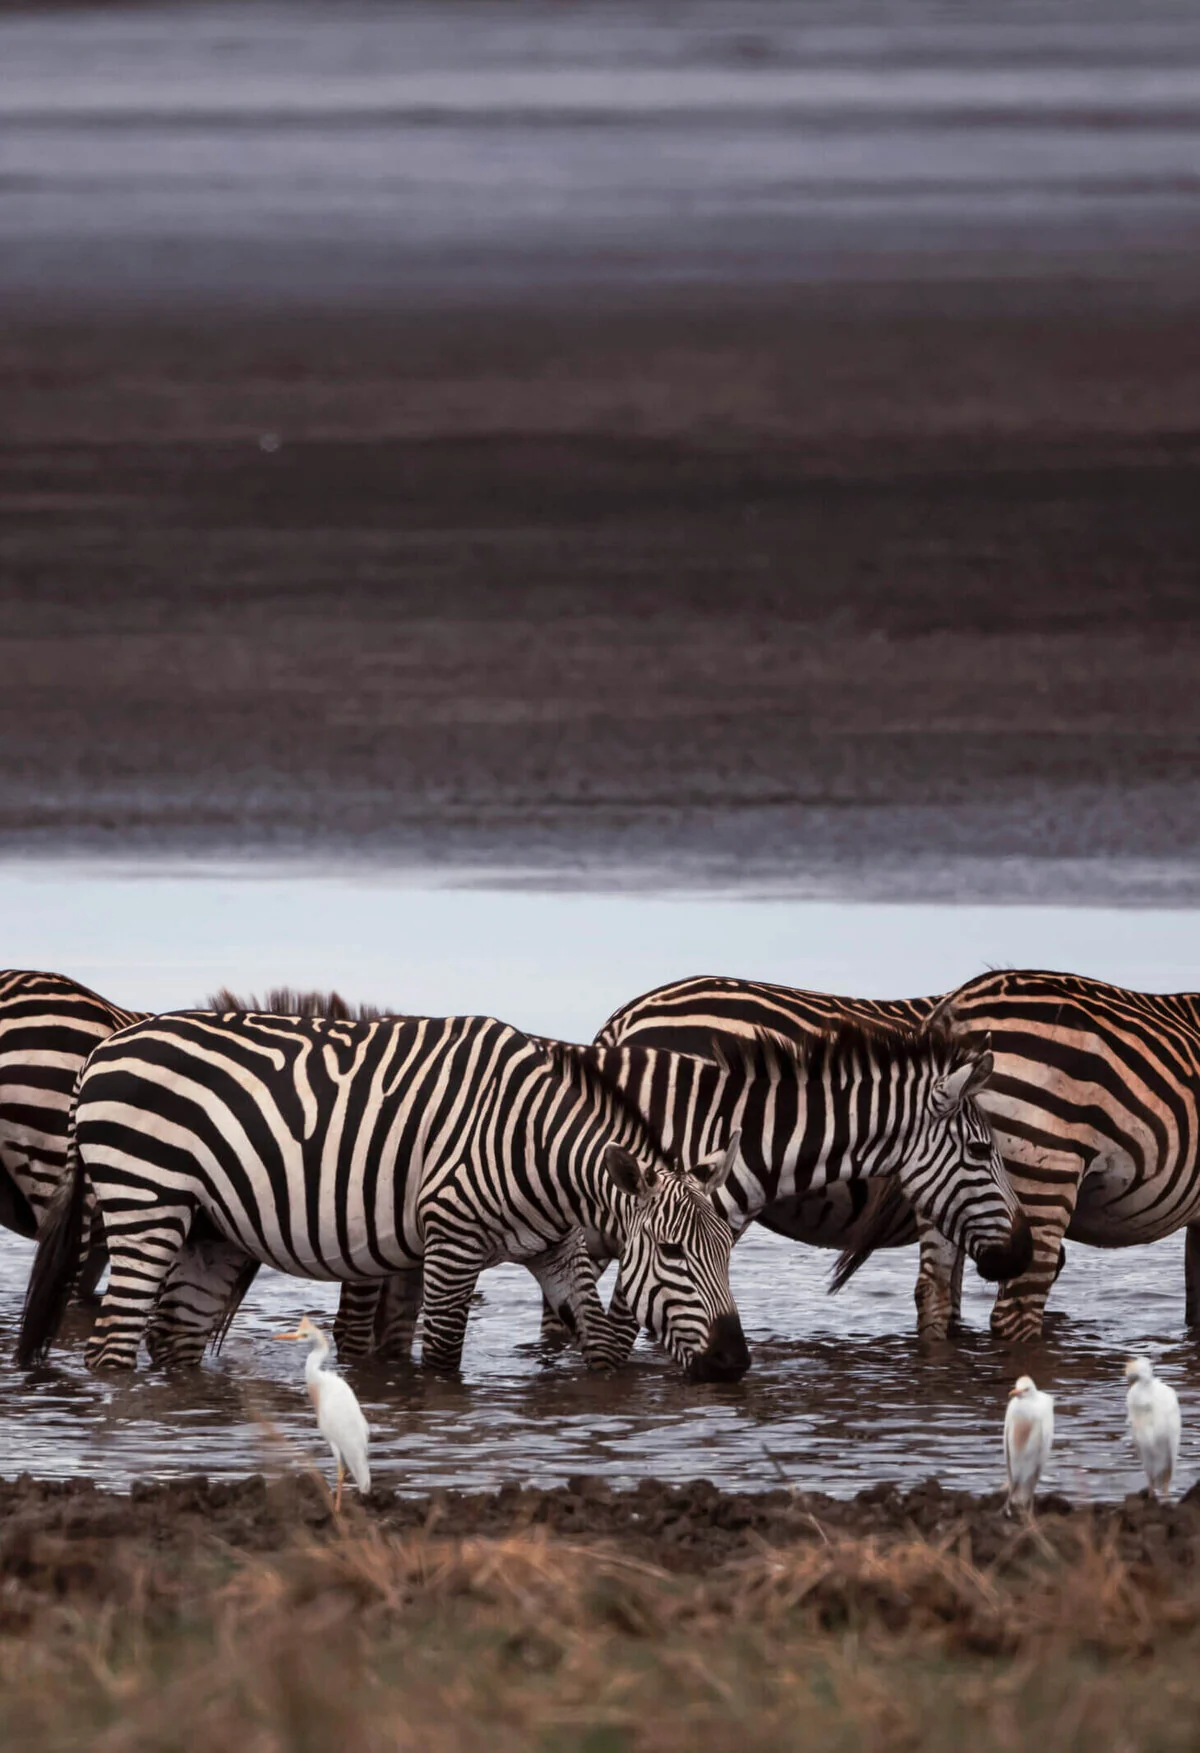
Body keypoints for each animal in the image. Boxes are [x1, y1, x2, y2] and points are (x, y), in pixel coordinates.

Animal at [17, 1010, 749, 1381]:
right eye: (673, 1251)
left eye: (728, 1253)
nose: (734, 1362)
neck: (539, 1145)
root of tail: (102, 1049)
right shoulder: (451, 1240)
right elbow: (444, 1360)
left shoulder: (554, 1251)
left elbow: (599, 1346)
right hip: (147, 1202)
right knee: (110, 1349)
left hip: (208, 1231)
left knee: (172, 1340)